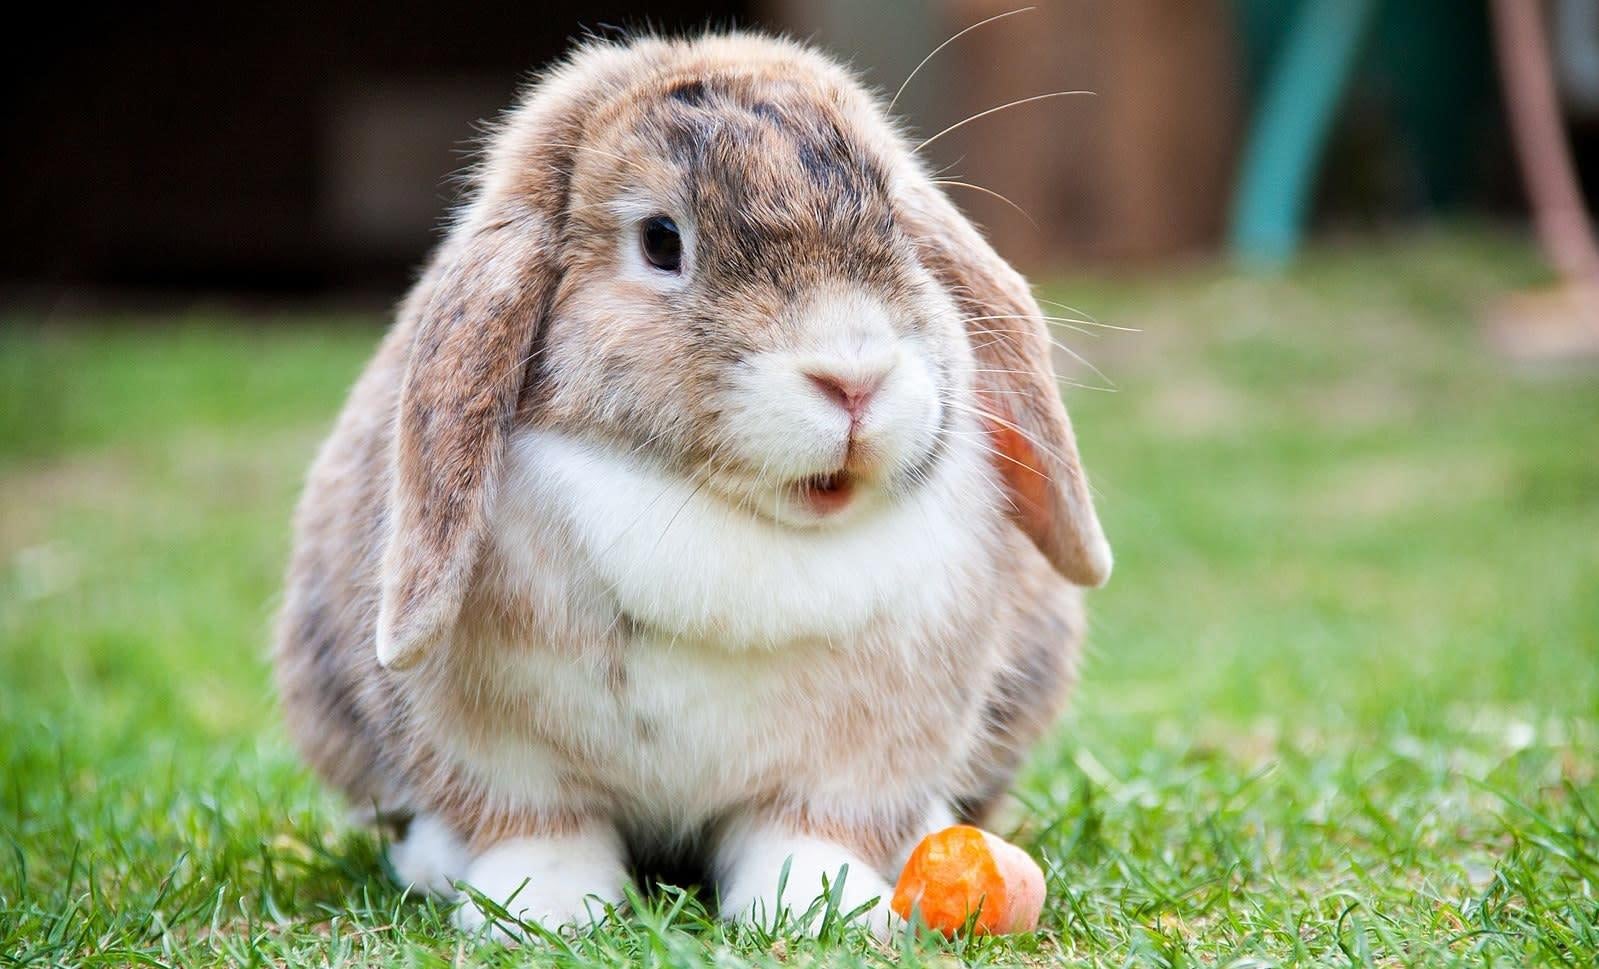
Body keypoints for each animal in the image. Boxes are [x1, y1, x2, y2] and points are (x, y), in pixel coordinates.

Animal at [275, 30, 1106, 940]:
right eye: (661, 241)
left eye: (894, 219)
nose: (853, 378)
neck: (727, 516)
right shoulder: (500, 756)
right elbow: (540, 828)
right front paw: (543, 910)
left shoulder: (856, 762)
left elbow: (806, 832)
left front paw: (820, 909)